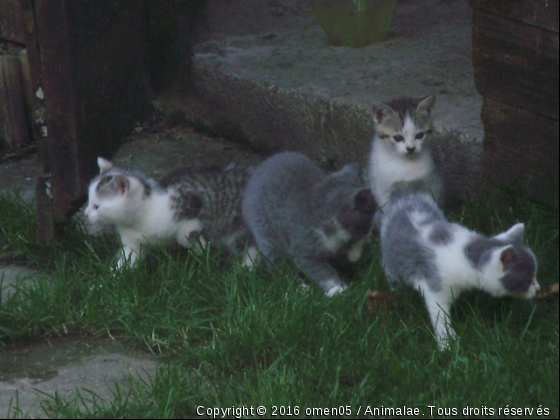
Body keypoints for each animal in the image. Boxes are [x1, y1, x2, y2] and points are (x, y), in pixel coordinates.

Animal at [83, 158, 254, 270]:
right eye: (89, 201)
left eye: (97, 206)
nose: (85, 214)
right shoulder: (134, 244)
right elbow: (127, 260)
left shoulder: (192, 202)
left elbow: (185, 234)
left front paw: (200, 247)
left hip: (238, 224)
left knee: (250, 246)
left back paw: (245, 270)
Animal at [241, 153, 376, 296]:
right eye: (370, 219)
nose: (371, 230)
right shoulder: (304, 251)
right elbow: (322, 271)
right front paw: (337, 289)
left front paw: (354, 254)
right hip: (267, 234)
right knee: (277, 266)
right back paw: (299, 287)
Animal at [380, 192, 540, 350]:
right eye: (528, 281)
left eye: (534, 276)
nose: (538, 289)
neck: (466, 257)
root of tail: (405, 197)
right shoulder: (436, 285)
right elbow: (439, 314)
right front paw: (447, 344)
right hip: (393, 259)